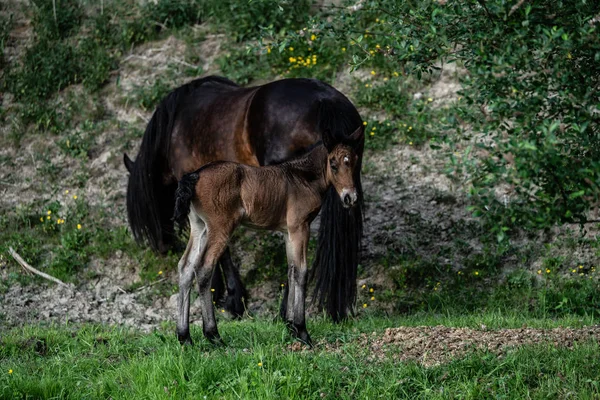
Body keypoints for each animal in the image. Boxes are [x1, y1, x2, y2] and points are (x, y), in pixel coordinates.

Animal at [171, 123, 364, 346]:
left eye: (354, 162)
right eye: (333, 164)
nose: (350, 198)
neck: (302, 177)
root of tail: (195, 175)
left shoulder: (288, 232)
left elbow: (291, 270)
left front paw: (290, 326)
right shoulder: (300, 227)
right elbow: (302, 272)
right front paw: (302, 330)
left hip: (199, 227)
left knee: (185, 267)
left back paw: (184, 337)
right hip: (220, 227)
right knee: (203, 268)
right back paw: (213, 335)